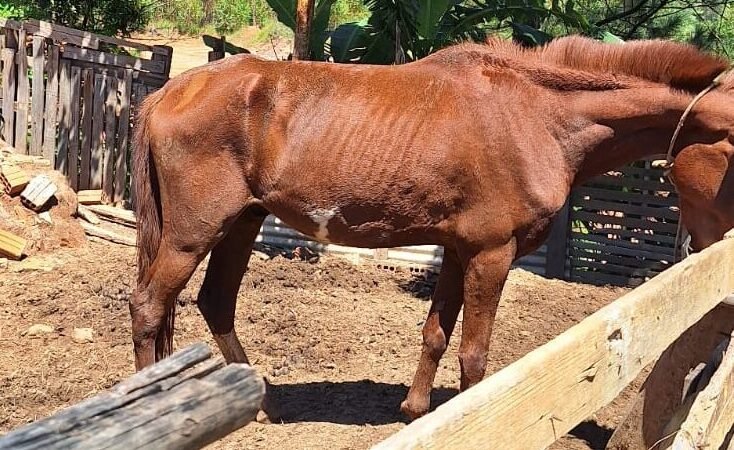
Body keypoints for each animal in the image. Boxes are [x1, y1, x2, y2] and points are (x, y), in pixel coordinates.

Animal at [130, 35, 734, 422]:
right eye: (731, 154)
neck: (535, 116)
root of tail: (168, 92)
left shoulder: (459, 249)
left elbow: (436, 335)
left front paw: (416, 410)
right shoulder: (492, 253)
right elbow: (474, 353)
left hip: (243, 222)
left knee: (214, 302)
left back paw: (261, 407)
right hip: (194, 233)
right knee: (149, 307)